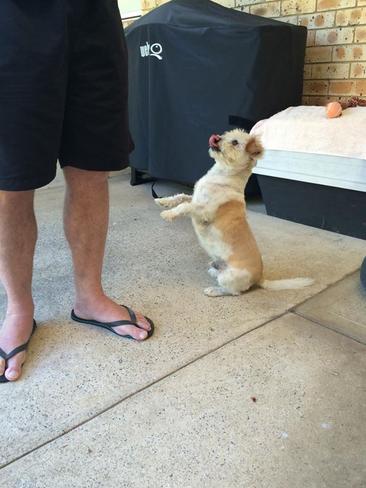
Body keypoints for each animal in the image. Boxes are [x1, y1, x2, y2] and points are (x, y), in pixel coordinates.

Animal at [156, 130, 314, 296]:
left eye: (235, 142)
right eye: (226, 134)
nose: (216, 138)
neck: (222, 175)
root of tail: (260, 278)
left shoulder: (204, 212)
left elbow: (184, 206)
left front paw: (168, 214)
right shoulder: (195, 198)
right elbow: (181, 197)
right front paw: (163, 201)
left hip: (229, 277)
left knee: (233, 292)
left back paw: (214, 290)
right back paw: (214, 270)